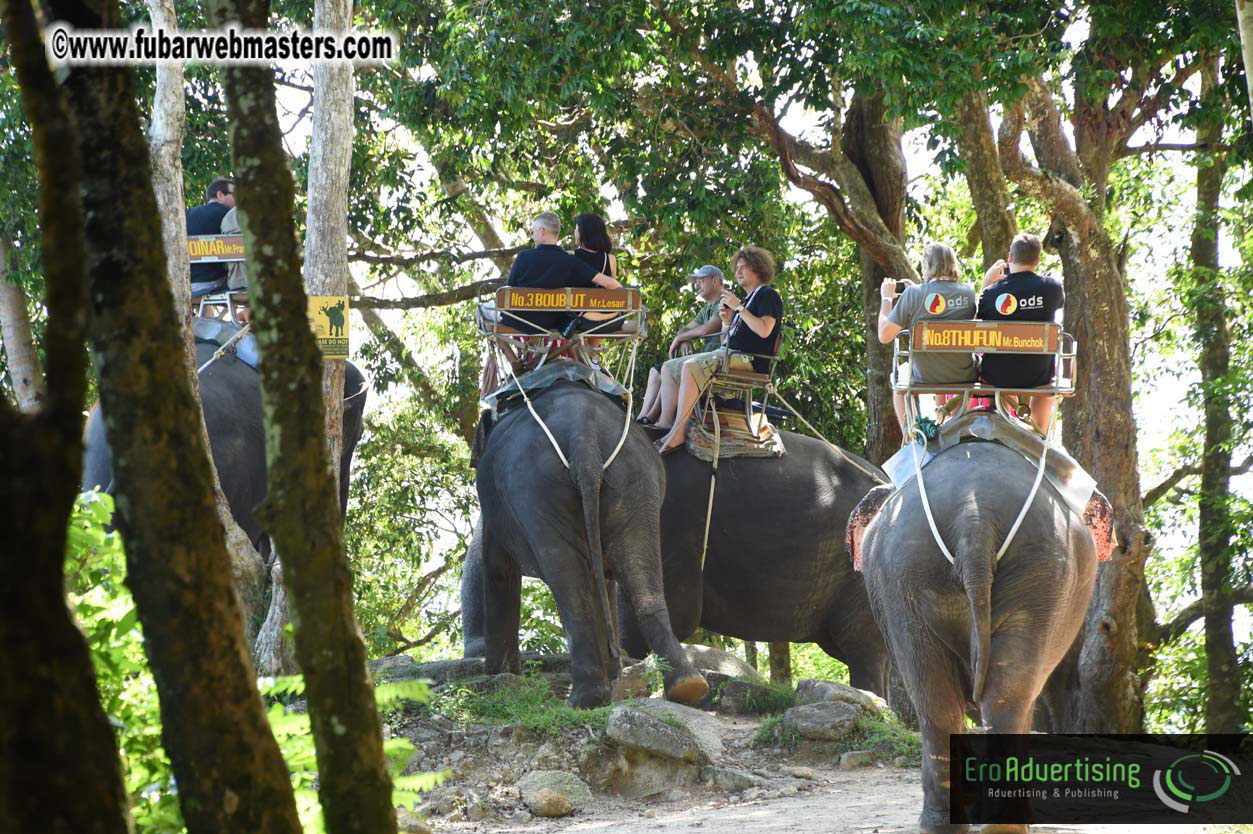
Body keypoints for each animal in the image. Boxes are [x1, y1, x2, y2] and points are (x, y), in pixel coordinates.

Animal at [474, 379, 708, 708]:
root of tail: (582, 436)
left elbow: (498, 568)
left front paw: (497, 674)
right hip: (635, 481)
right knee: (642, 575)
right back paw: (687, 687)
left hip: (534, 489)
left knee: (568, 582)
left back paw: (584, 699)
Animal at [850, 440, 1098, 834]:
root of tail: (974, 515)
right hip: (1034, 571)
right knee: (997, 696)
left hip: (913, 572)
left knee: (944, 698)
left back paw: (959, 825)